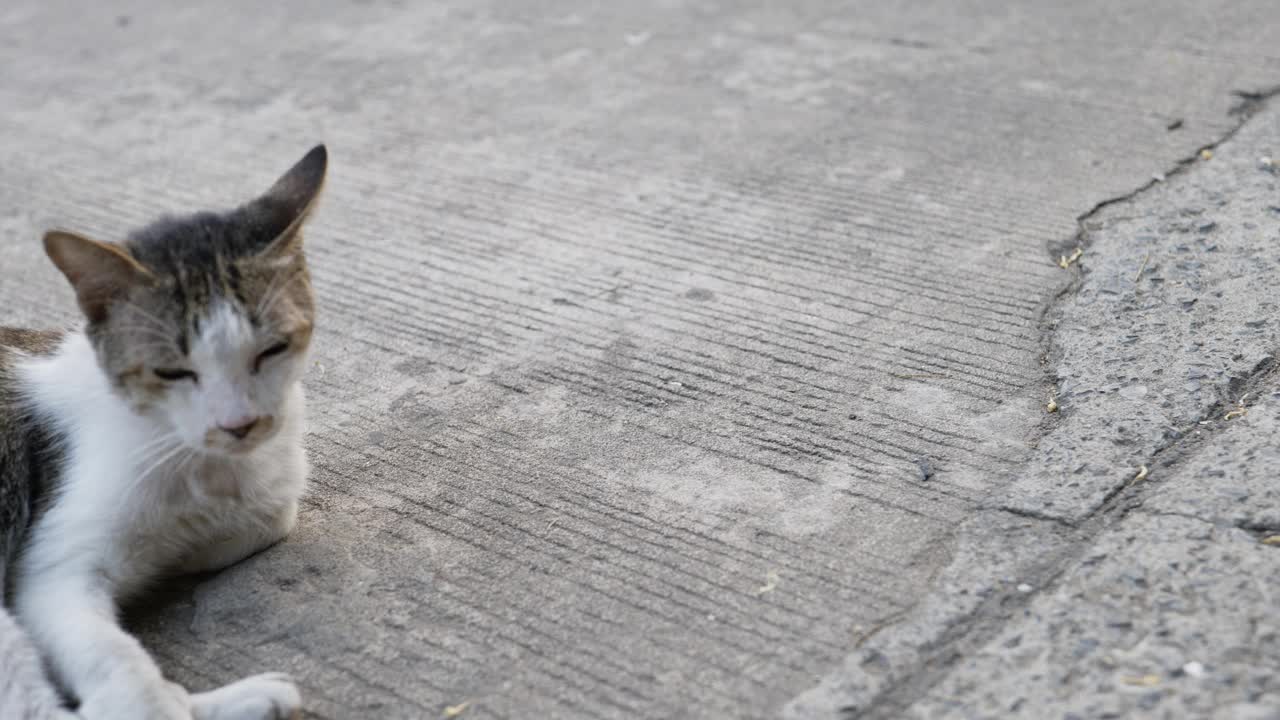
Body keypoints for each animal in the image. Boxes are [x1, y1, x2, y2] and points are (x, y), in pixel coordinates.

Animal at [0, 142, 330, 712]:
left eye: (272, 350)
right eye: (173, 372)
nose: (239, 424)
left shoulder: (269, 497)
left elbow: (270, 517)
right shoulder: (50, 569)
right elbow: (128, 684)